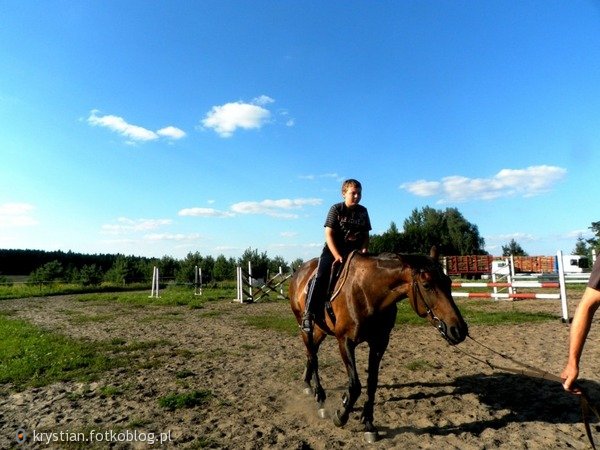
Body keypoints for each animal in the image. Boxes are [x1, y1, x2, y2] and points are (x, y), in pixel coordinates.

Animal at [288, 248, 466, 442]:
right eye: (426, 285)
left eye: (448, 282)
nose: (458, 330)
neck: (367, 292)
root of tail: (299, 272)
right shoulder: (345, 341)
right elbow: (355, 386)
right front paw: (341, 415)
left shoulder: (379, 343)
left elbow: (372, 383)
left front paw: (368, 423)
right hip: (305, 326)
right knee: (313, 356)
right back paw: (319, 397)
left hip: (321, 330)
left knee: (311, 353)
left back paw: (307, 383)